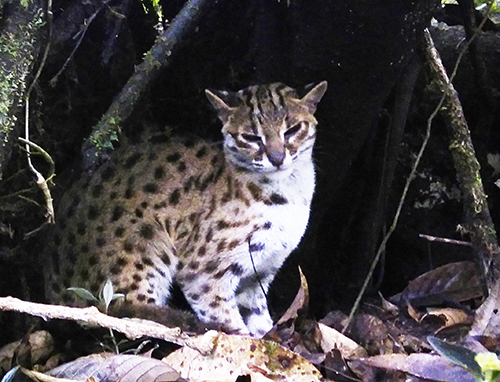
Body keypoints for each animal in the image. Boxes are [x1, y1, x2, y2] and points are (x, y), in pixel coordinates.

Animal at [44, 80, 328, 338]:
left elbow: (258, 318)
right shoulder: (203, 273)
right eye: (250, 137)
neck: (290, 192)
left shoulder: (258, 273)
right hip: (146, 249)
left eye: (292, 129)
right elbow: (227, 321)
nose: (277, 158)